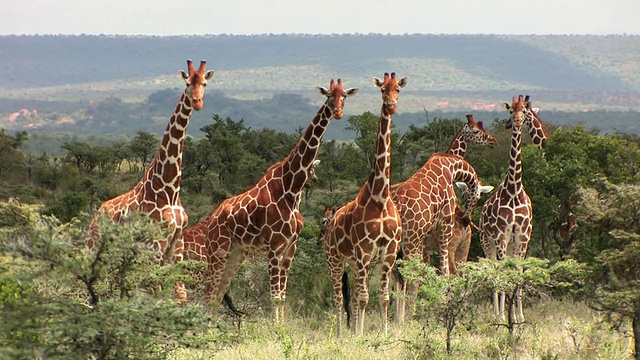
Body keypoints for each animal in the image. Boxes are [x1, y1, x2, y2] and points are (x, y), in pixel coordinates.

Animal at [90, 59, 215, 300]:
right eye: (187, 83)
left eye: (204, 83)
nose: (197, 102)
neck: (169, 188)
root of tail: (97, 213)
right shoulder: (154, 247)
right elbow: (158, 294)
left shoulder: (177, 247)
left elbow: (180, 296)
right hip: (95, 247)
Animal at [189, 79, 360, 320]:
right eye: (329, 96)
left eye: (344, 95)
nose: (337, 112)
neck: (291, 189)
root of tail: (211, 219)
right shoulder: (274, 246)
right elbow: (274, 297)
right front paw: (275, 326)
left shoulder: (290, 247)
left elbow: (282, 297)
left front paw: (282, 325)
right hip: (217, 251)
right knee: (209, 293)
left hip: (236, 254)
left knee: (218, 293)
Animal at [322, 71, 408, 336]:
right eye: (382, 90)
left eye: (398, 90)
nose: (391, 105)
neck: (379, 197)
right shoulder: (364, 253)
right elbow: (363, 298)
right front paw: (358, 335)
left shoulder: (387, 254)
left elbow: (383, 298)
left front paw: (385, 332)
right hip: (335, 261)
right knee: (339, 298)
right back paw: (341, 334)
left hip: (353, 264)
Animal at [478, 94, 548, 322]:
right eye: (511, 111)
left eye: (524, 111)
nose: (516, 121)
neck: (514, 190)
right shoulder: (501, 236)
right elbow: (502, 274)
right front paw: (503, 317)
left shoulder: (523, 237)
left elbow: (519, 273)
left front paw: (519, 317)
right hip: (487, 241)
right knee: (494, 270)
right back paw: (496, 314)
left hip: (509, 244)